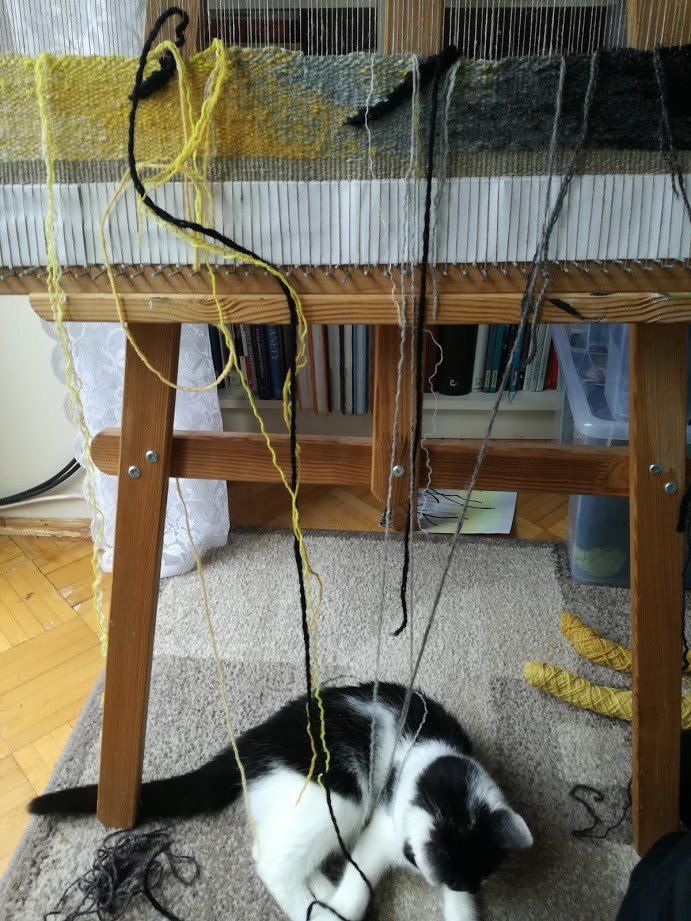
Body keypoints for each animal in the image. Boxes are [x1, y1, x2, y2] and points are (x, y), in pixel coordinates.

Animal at [29, 681, 532, 921]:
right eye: (443, 853)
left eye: (481, 871)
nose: (460, 882)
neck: (432, 754)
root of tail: (251, 743)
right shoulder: (382, 830)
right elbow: (361, 879)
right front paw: (343, 910)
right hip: (342, 800)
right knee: (272, 861)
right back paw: (320, 909)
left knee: (275, 848)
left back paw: (320, 893)